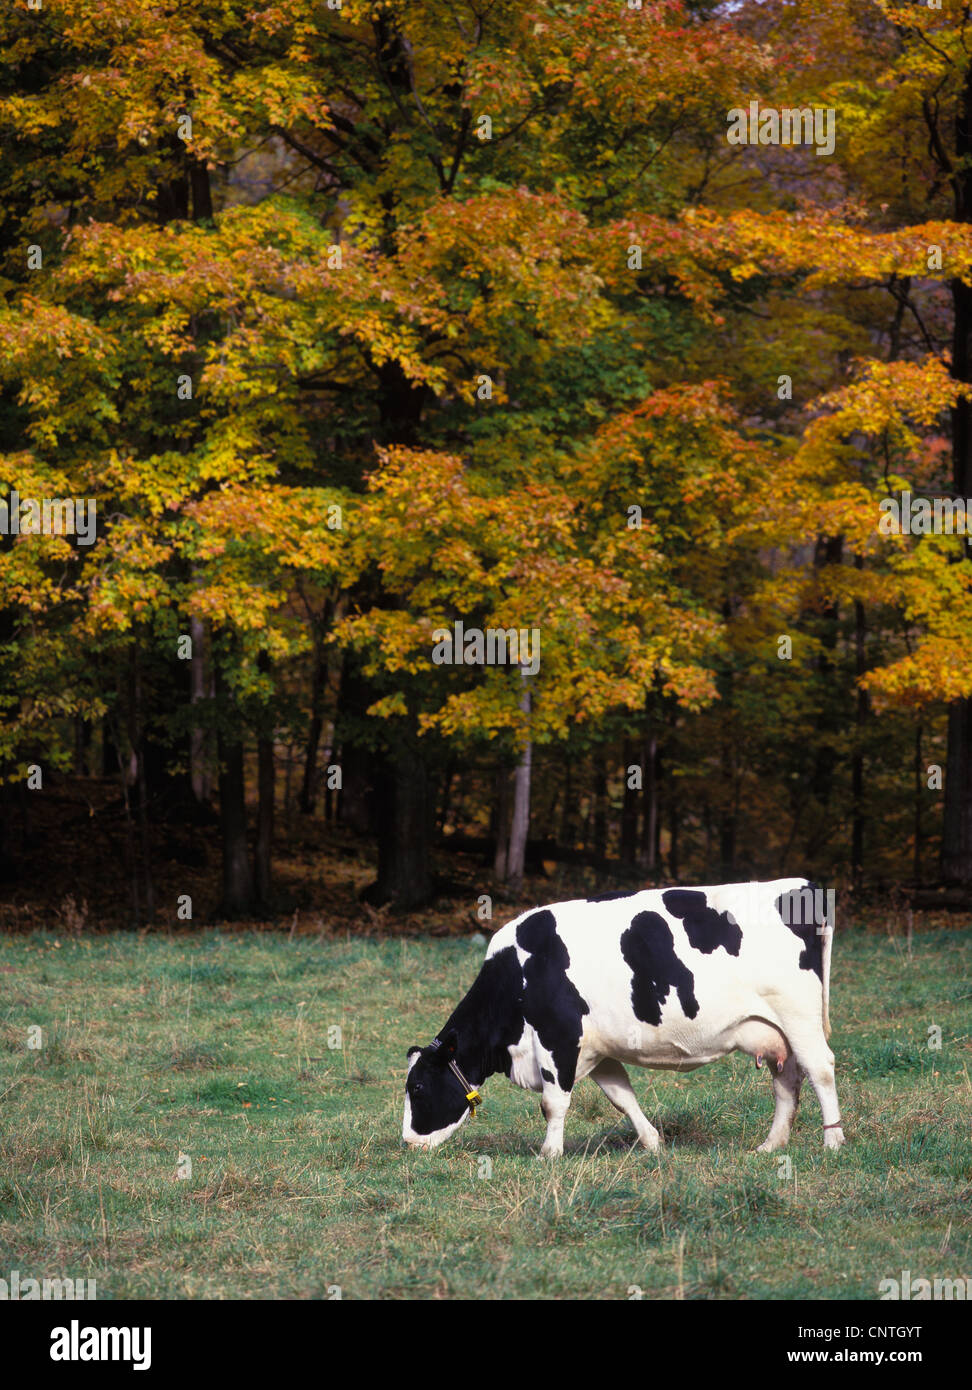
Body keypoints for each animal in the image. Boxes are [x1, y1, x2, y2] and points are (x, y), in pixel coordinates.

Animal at [402, 878, 845, 1156]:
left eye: (418, 1088)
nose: (407, 1142)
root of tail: (803, 886)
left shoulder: (558, 1039)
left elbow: (553, 1103)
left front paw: (549, 1153)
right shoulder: (596, 1048)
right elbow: (621, 1097)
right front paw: (652, 1143)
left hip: (799, 1016)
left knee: (821, 1070)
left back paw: (833, 1141)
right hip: (776, 1030)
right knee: (787, 1080)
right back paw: (771, 1145)